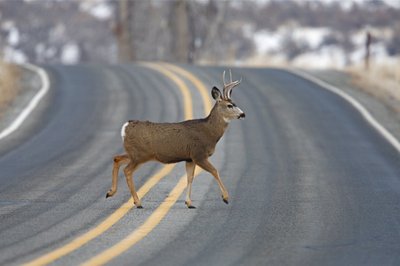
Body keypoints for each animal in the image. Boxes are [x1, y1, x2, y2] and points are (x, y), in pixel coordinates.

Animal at [104, 70, 245, 210]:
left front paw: (189, 203)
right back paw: (137, 202)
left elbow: (190, 178)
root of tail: (125, 127)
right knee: (127, 170)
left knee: (117, 158)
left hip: (134, 153)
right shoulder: (198, 154)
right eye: (230, 105)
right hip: (140, 154)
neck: (209, 132)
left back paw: (110, 192)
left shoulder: (189, 158)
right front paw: (225, 197)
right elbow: (215, 171)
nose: (243, 114)